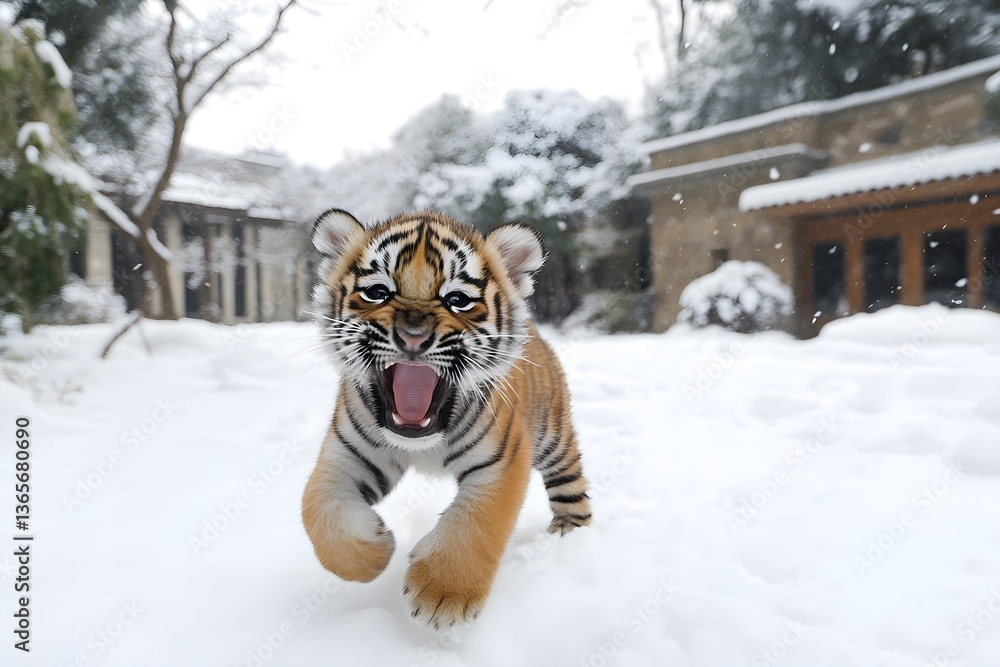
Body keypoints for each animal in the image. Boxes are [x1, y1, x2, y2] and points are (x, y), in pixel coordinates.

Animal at [301, 209, 591, 629]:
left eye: (457, 300)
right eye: (378, 292)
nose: (413, 335)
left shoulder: (503, 459)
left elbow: (476, 522)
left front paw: (442, 596)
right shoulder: (346, 453)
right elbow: (320, 509)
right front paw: (373, 553)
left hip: (554, 440)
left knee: (571, 487)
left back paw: (570, 537)